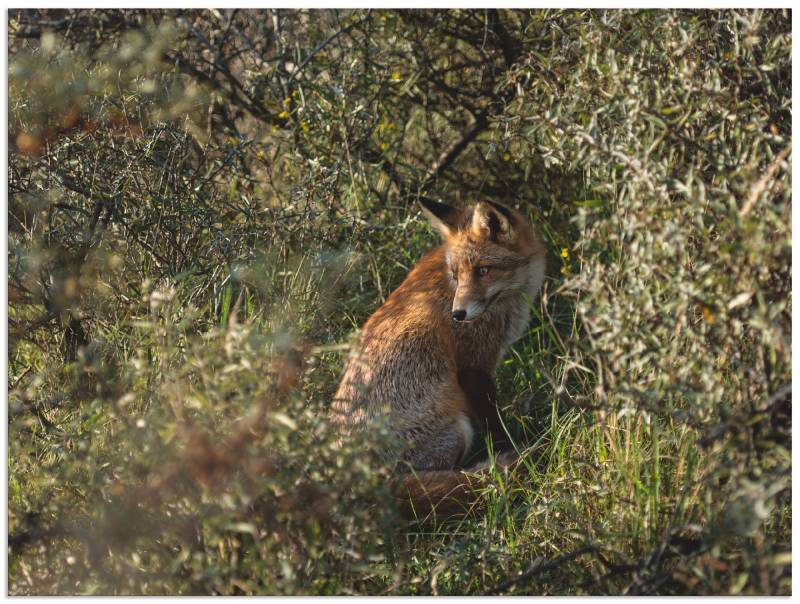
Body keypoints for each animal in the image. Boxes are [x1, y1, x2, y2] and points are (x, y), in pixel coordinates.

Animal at [328, 199, 548, 520]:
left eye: (483, 270)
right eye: (456, 275)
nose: (458, 314)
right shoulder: (473, 365)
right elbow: (495, 424)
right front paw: (507, 446)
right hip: (458, 430)